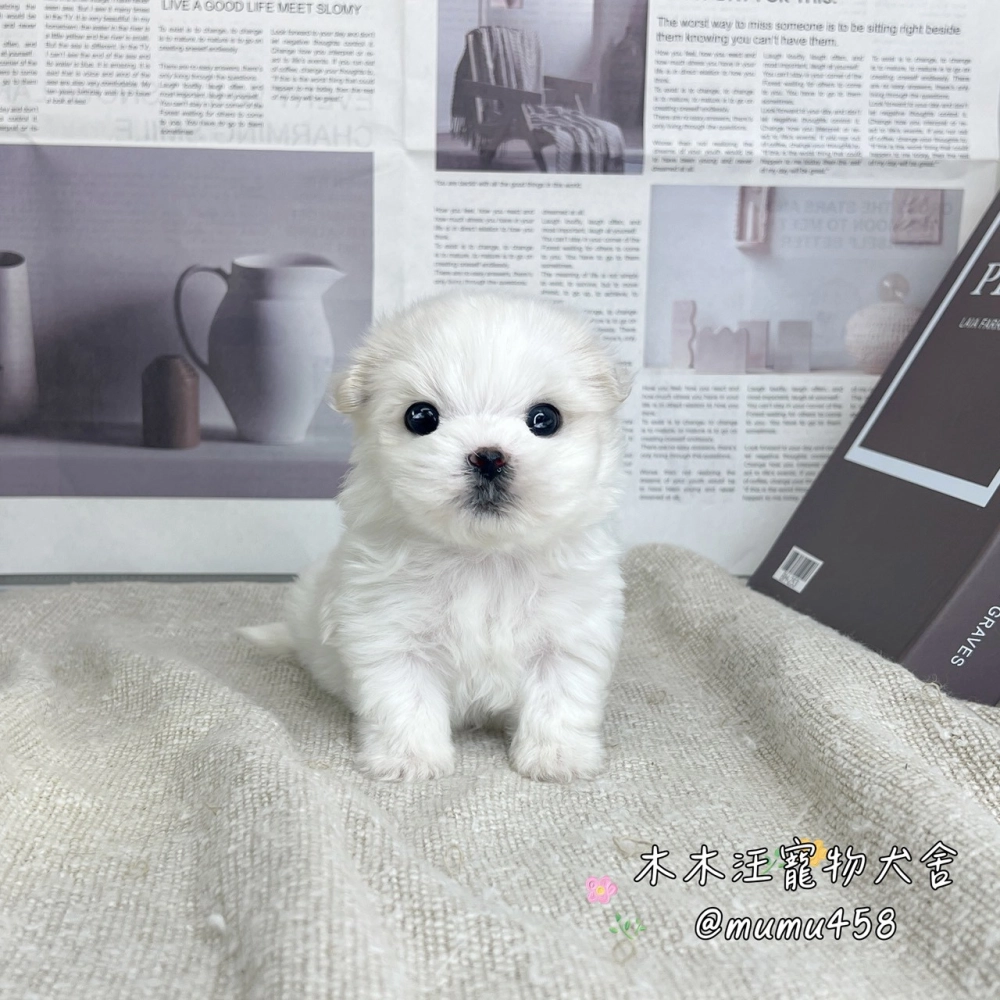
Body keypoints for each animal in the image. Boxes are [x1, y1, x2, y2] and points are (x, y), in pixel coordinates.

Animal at [242, 291, 631, 781]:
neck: (483, 557)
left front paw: (557, 757)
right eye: (421, 417)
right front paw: (410, 759)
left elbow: (560, 699)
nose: (489, 457)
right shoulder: (390, 635)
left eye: (545, 419)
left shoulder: (568, 636)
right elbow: (404, 700)